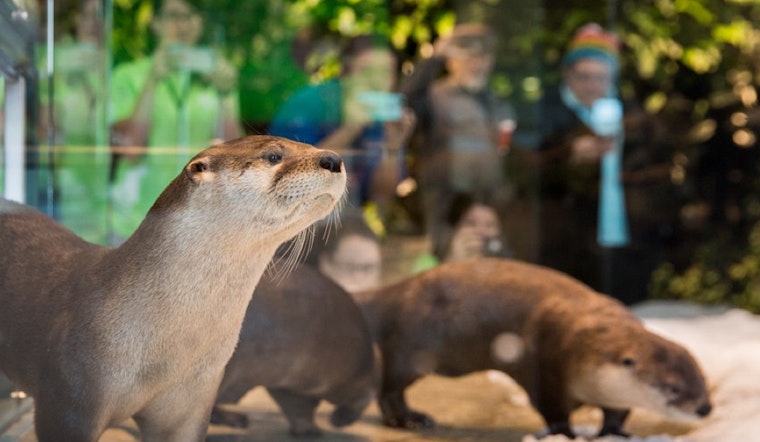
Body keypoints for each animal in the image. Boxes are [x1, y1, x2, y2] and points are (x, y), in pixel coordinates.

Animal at [352, 258, 712, 438]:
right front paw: (566, 434)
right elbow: (552, 410)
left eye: (703, 381)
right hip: (412, 347)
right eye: (673, 387)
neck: (585, 348)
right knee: (389, 386)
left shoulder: (611, 393)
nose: (705, 408)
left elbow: (617, 412)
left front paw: (615, 432)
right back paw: (409, 420)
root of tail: (398, 290)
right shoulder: (547, 367)